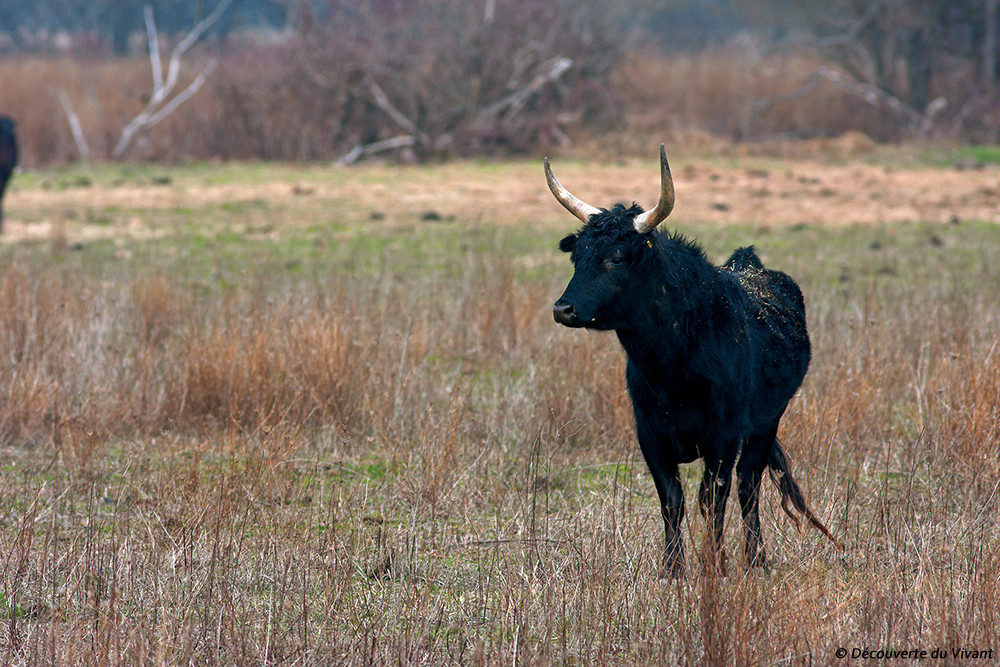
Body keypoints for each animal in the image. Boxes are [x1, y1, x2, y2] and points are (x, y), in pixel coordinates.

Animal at [548, 146, 836, 576]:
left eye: (617, 257)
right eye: (577, 256)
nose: (563, 309)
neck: (671, 368)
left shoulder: (724, 436)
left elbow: (712, 498)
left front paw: (714, 565)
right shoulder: (650, 435)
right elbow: (672, 500)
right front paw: (672, 569)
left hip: (766, 423)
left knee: (748, 486)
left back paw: (755, 558)